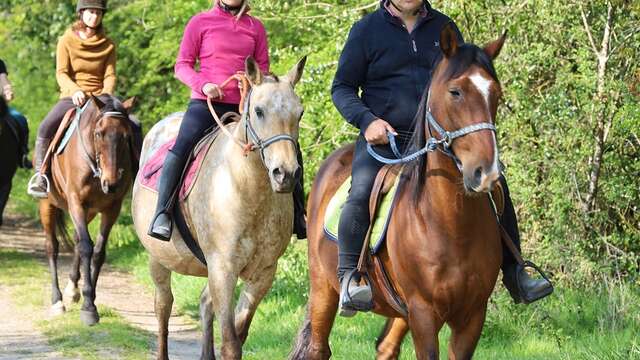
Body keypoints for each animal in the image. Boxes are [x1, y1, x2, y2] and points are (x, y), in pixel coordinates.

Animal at [40, 94, 137, 324]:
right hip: (47, 204)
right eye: (98, 133)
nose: (111, 183)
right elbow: (86, 247)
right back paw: (57, 301)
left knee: (76, 239)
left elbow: (98, 252)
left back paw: (73, 290)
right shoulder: (76, 202)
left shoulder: (112, 208)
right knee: (52, 246)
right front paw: (88, 308)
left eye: (126, 135)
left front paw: (89, 297)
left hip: (90, 211)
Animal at [131, 57, 306, 360]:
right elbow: (231, 343)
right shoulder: (223, 269)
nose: (285, 174)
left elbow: (239, 332)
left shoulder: (263, 273)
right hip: (158, 258)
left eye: (300, 112)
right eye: (259, 111)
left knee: (204, 303)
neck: (246, 191)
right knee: (163, 306)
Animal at [292, 23, 508, 358]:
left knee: (386, 348)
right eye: (455, 92)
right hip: (323, 287)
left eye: (496, 93)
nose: (485, 173)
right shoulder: (423, 313)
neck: (450, 224)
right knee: (317, 347)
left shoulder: (472, 316)